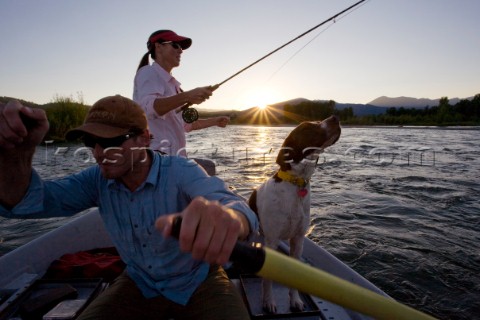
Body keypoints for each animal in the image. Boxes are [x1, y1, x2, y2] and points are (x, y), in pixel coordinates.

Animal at [248, 115, 342, 312]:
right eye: (307, 127)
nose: (335, 117)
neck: (296, 183)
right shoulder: (273, 240)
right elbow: (268, 279)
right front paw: (268, 301)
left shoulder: (298, 240)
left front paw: (295, 300)